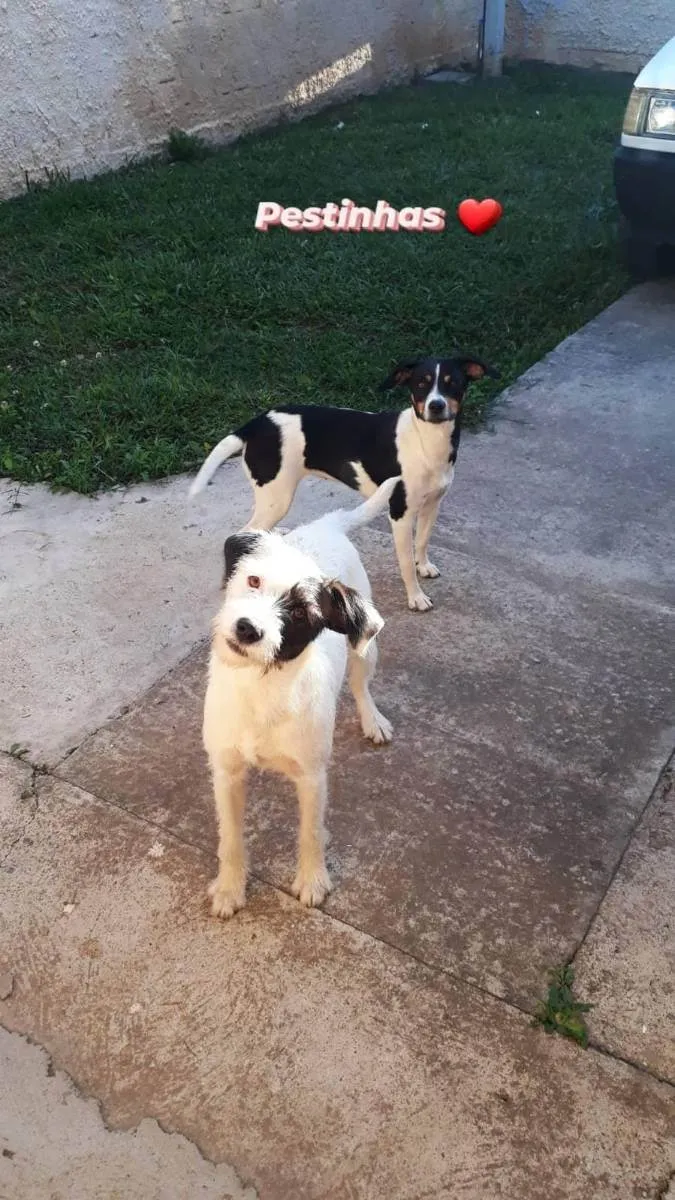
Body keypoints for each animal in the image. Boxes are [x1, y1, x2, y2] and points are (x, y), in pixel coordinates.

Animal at [186, 350, 497, 609]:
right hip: (277, 498)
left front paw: (425, 566)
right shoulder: (400, 514)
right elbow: (406, 562)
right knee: (236, 537)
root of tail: (256, 423)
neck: (427, 440)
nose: (436, 406)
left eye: (452, 383)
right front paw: (416, 597)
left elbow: (422, 541)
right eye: (421, 384)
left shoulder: (433, 504)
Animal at [201, 475, 396, 916]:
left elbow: (310, 832)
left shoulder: (311, 777)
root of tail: (324, 525)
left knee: (361, 685)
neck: (262, 688)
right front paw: (230, 887)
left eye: (302, 613)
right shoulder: (226, 772)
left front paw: (312, 880)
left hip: (366, 650)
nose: (247, 629)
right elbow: (230, 838)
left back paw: (372, 719)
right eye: (253, 581)